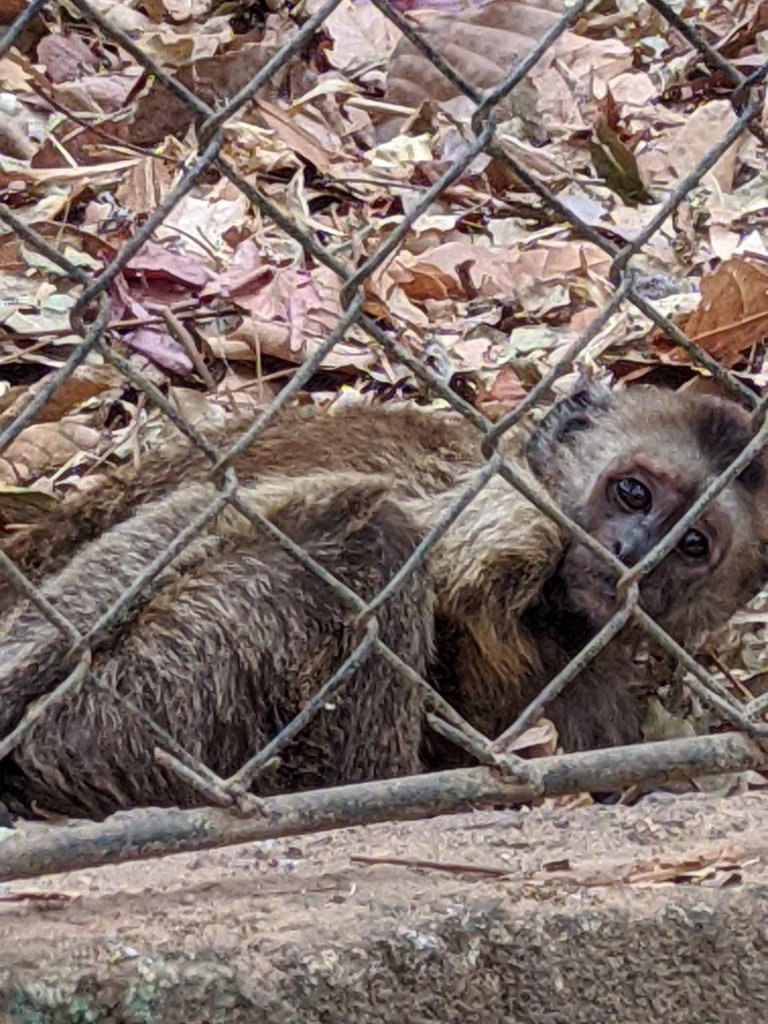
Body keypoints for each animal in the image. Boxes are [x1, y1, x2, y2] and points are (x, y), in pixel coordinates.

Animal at [0, 380, 765, 819]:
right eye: (632, 492)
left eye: (692, 544)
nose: (633, 552)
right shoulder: (503, 508)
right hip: (115, 706)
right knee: (378, 535)